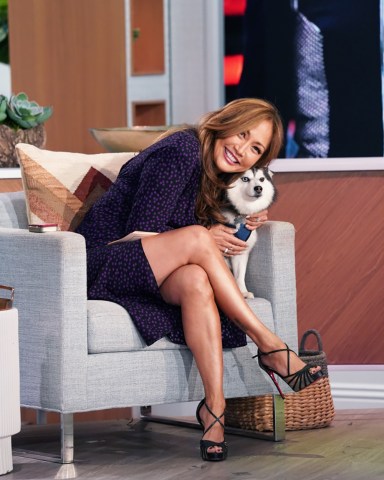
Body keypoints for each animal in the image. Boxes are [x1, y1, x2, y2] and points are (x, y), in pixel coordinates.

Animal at [220, 167, 278, 298]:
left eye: (261, 179)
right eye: (245, 179)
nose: (258, 188)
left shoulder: (239, 249)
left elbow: (239, 275)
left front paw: (242, 292)